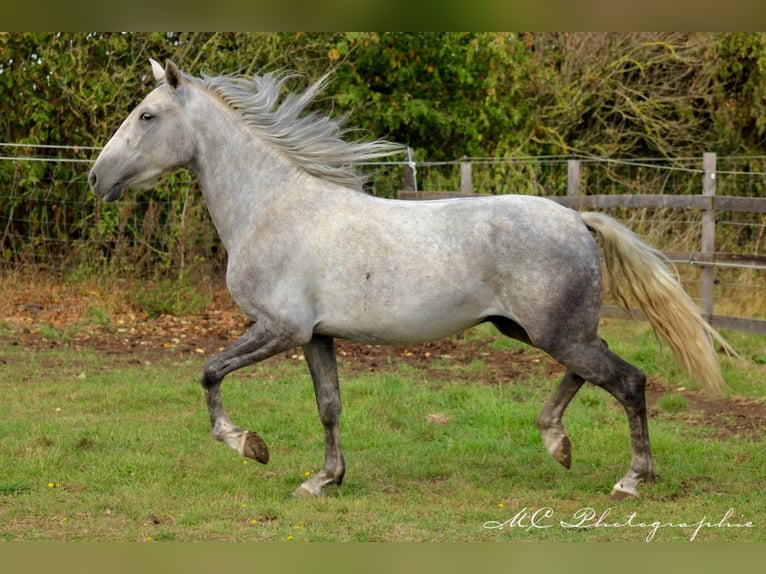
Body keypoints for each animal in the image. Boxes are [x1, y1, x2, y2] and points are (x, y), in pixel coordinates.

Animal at [90, 59, 732, 500]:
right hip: (537, 329)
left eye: (147, 115)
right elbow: (329, 405)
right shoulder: (316, 336)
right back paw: (557, 442)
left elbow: (208, 372)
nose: (97, 178)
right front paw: (323, 480)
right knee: (591, 373)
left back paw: (629, 478)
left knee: (628, 381)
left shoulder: (278, 329)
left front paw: (251, 446)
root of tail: (576, 218)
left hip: (556, 331)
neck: (272, 207)